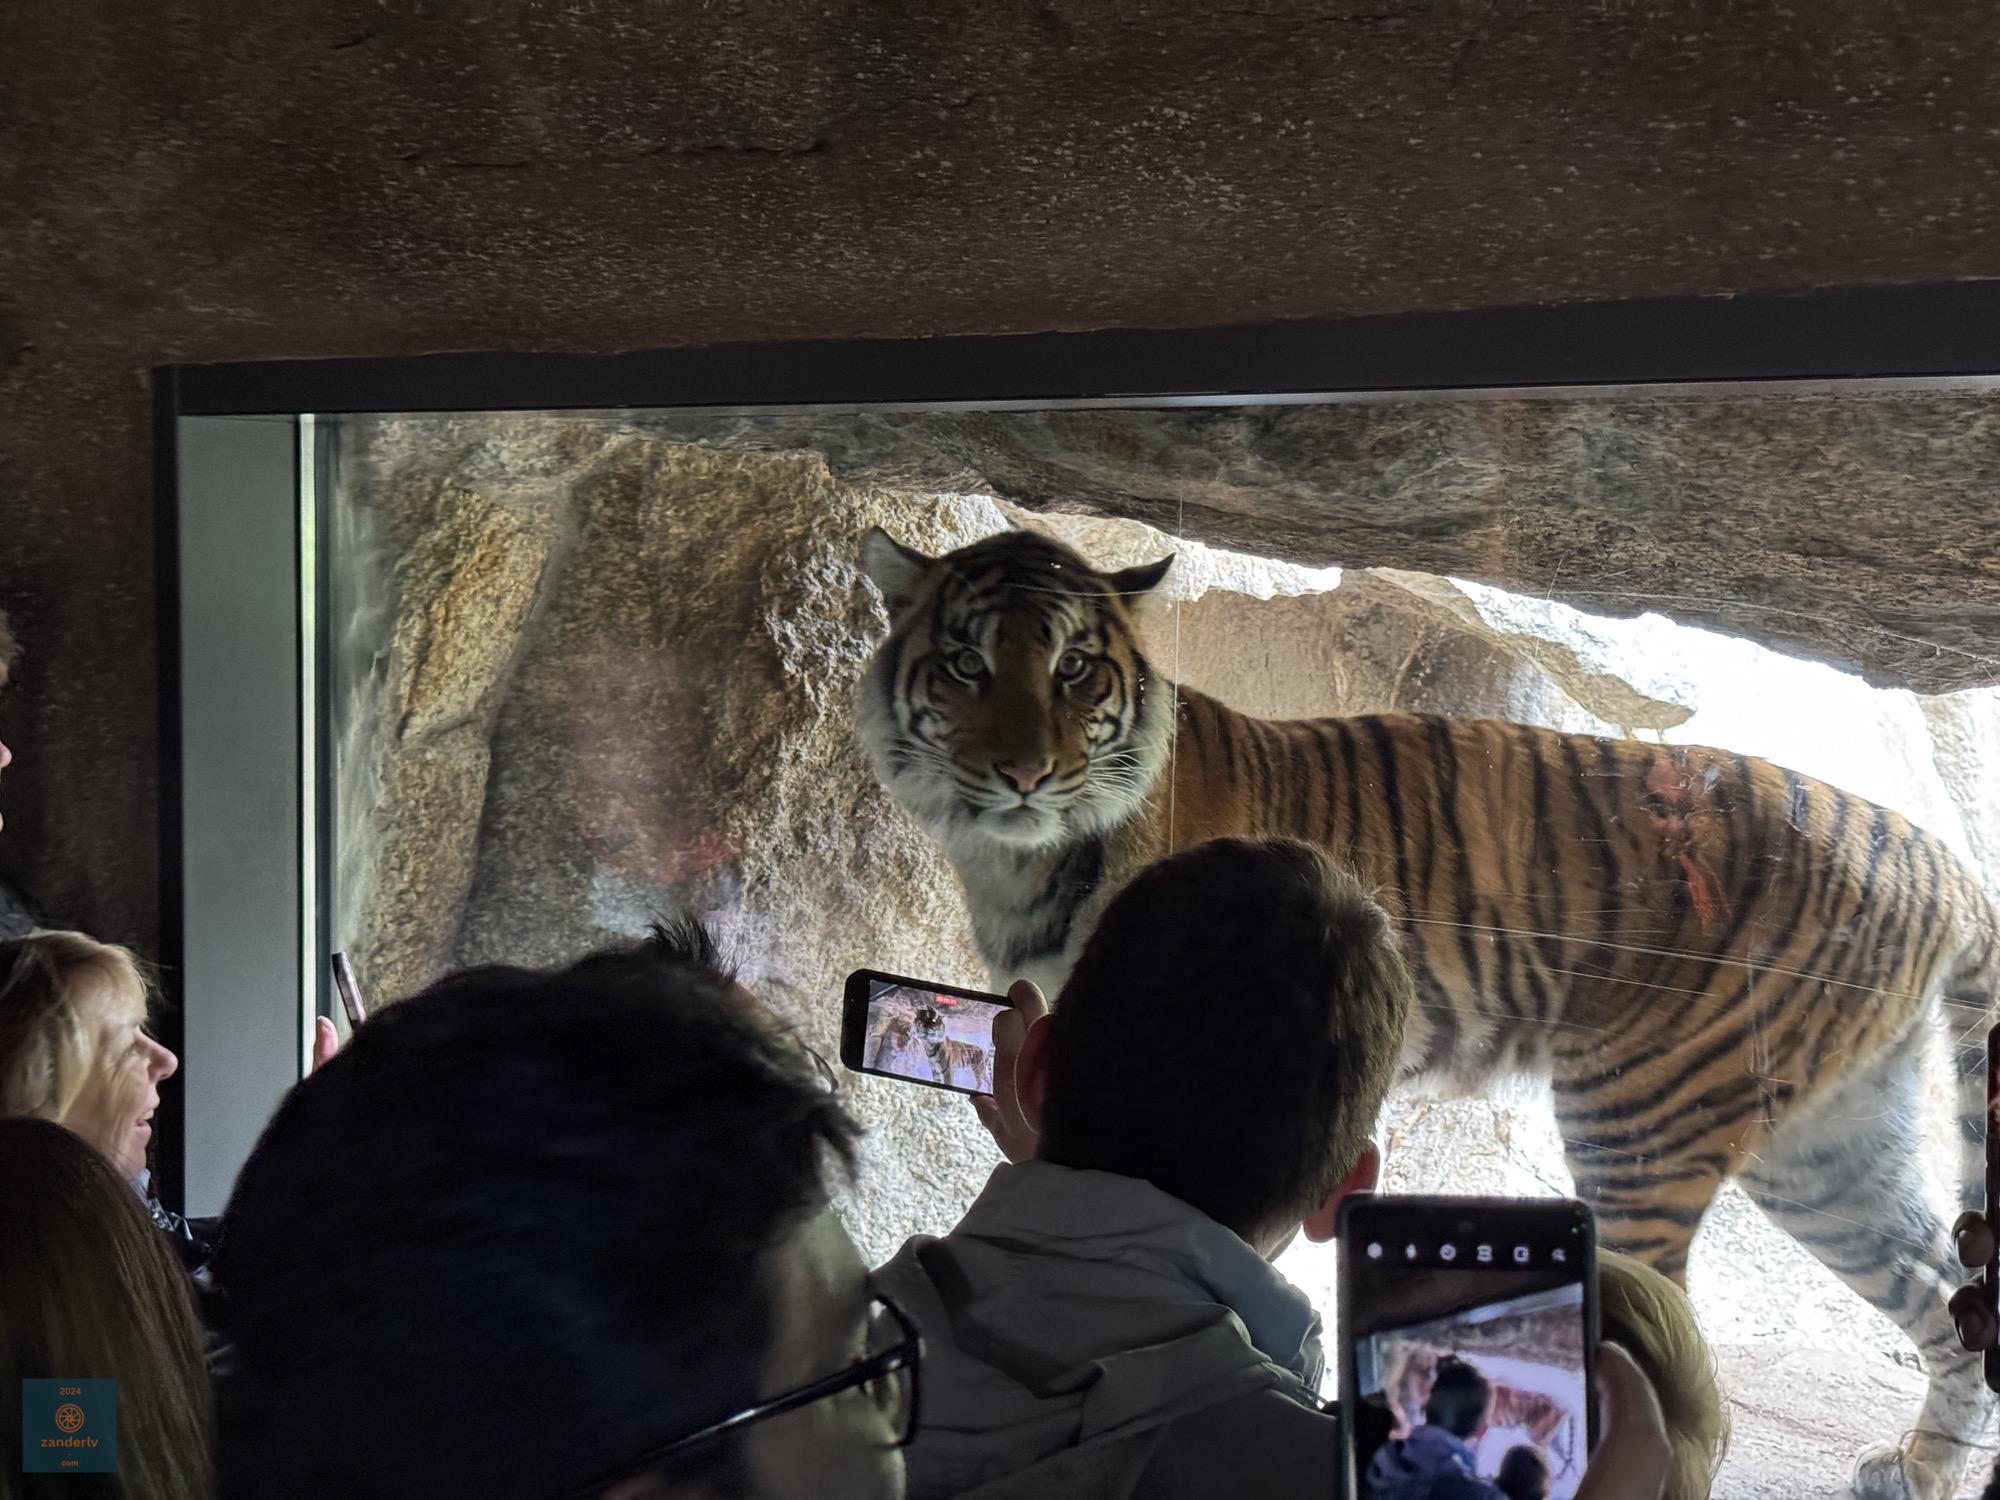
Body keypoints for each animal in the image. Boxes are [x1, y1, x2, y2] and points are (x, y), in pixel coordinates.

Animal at [856, 524, 1999, 1500]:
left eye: (1074, 669)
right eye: (964, 665)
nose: (1023, 773)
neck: (1012, 854)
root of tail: (1941, 858)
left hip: (1646, 1120)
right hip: (1824, 1154)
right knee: (1943, 1292)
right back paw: (1923, 1469)